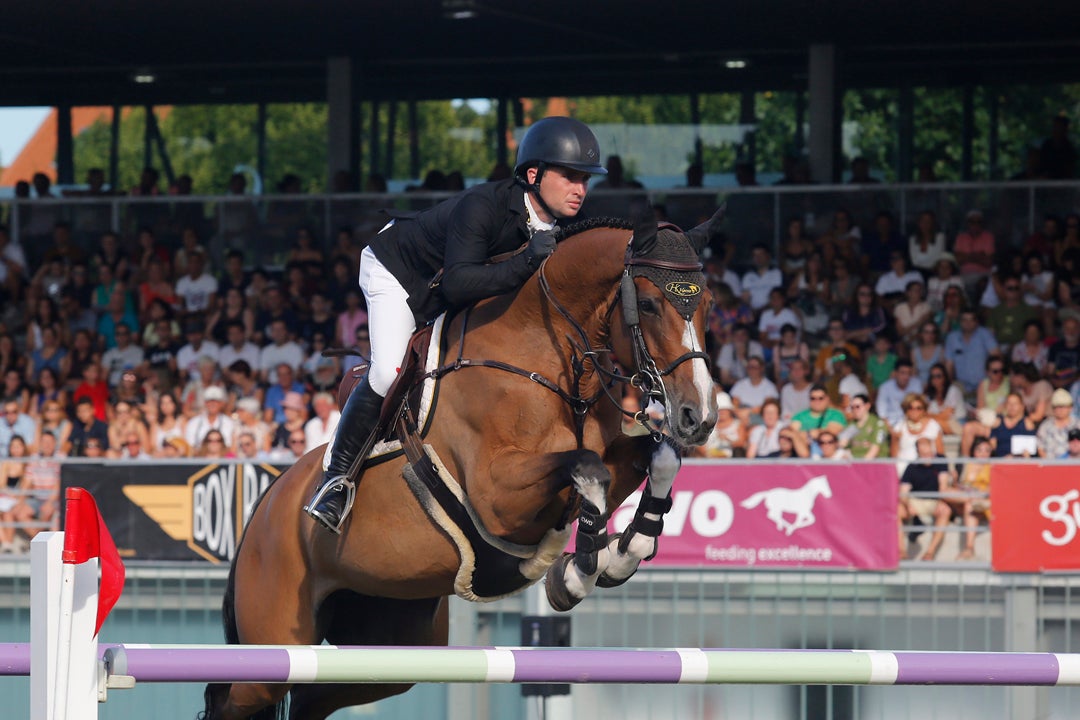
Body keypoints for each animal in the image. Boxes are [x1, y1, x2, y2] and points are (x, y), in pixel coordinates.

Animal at [200, 208, 725, 720]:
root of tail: (265, 505)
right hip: (273, 647)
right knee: (231, 696)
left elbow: (659, 457)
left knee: (314, 697)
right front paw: (578, 573)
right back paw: (329, 500)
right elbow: (588, 467)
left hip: (390, 644)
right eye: (650, 304)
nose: (698, 417)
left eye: (707, 304)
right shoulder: (498, 497)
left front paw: (625, 551)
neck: (546, 355)